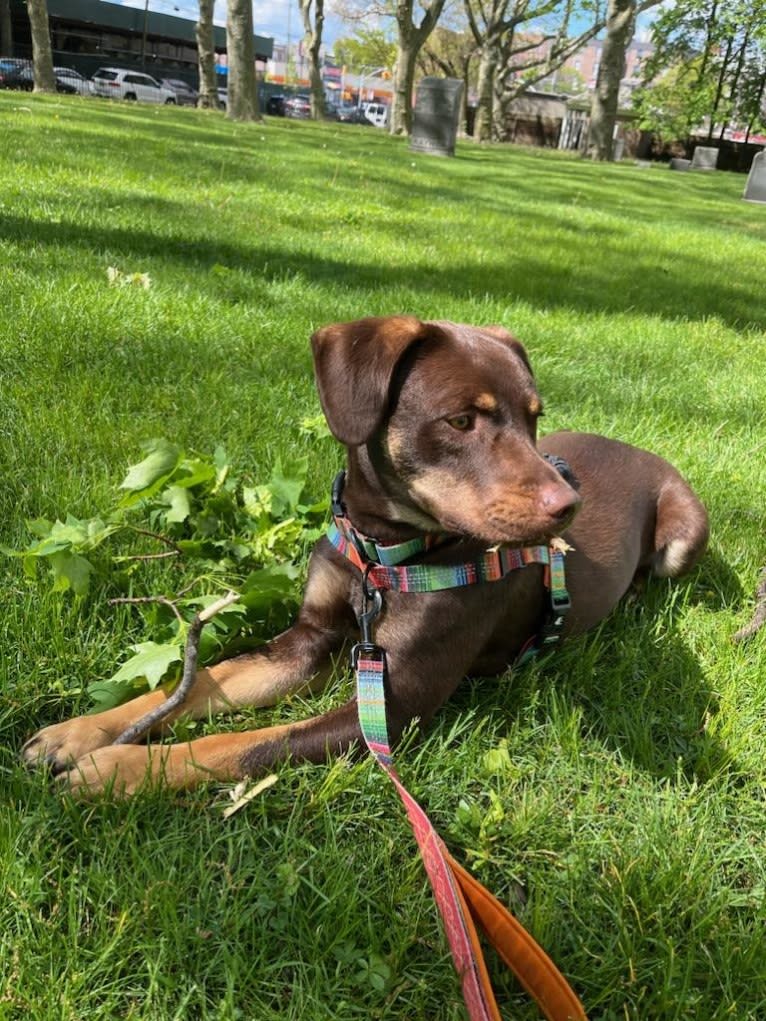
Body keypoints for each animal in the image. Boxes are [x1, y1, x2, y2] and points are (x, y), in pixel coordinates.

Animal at [20, 314, 710, 792]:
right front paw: (78, 733)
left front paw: (119, 769)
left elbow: (242, 744)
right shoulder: (307, 640)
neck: (383, 552)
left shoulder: (391, 704)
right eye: (461, 421)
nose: (569, 507)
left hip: (685, 535)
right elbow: (198, 683)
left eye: (532, 417)